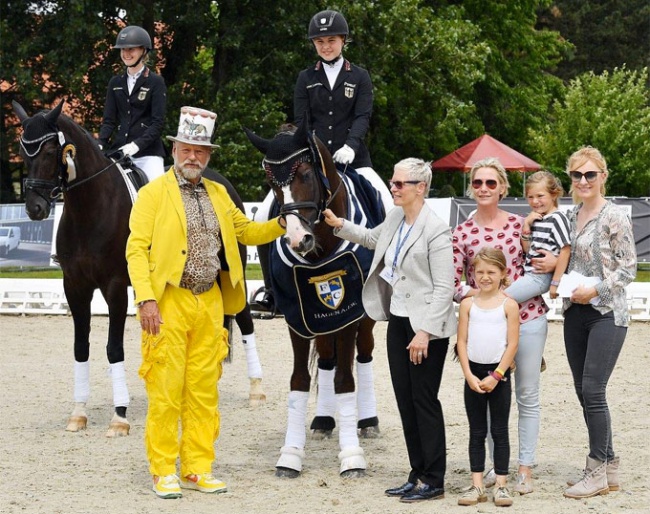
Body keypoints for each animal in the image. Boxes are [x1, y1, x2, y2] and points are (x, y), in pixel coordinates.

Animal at [12, 98, 264, 434]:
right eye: (23, 150)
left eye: (52, 151)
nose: (35, 208)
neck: (89, 209)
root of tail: (217, 181)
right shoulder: (74, 287)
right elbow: (81, 347)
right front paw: (78, 413)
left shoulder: (115, 286)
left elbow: (113, 348)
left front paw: (119, 416)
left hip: (233, 274)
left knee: (246, 321)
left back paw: (256, 390)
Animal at [246, 120, 382, 476]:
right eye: (272, 183)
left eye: (306, 174)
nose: (298, 240)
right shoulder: (297, 316)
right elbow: (300, 380)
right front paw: (291, 455)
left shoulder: (348, 314)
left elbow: (346, 380)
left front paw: (352, 457)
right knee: (326, 360)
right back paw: (323, 420)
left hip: (364, 319)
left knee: (364, 356)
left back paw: (367, 421)